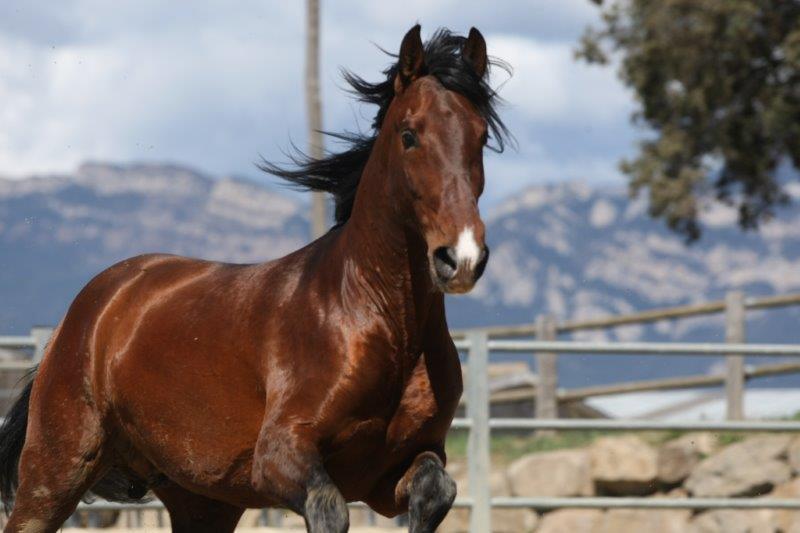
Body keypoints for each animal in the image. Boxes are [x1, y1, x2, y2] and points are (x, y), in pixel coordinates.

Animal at [0, 24, 509, 532]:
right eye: (409, 135)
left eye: (481, 137)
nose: (461, 256)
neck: (378, 320)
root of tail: (91, 308)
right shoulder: (279, 457)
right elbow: (329, 507)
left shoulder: (393, 472)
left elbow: (436, 490)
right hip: (55, 473)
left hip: (202, 500)